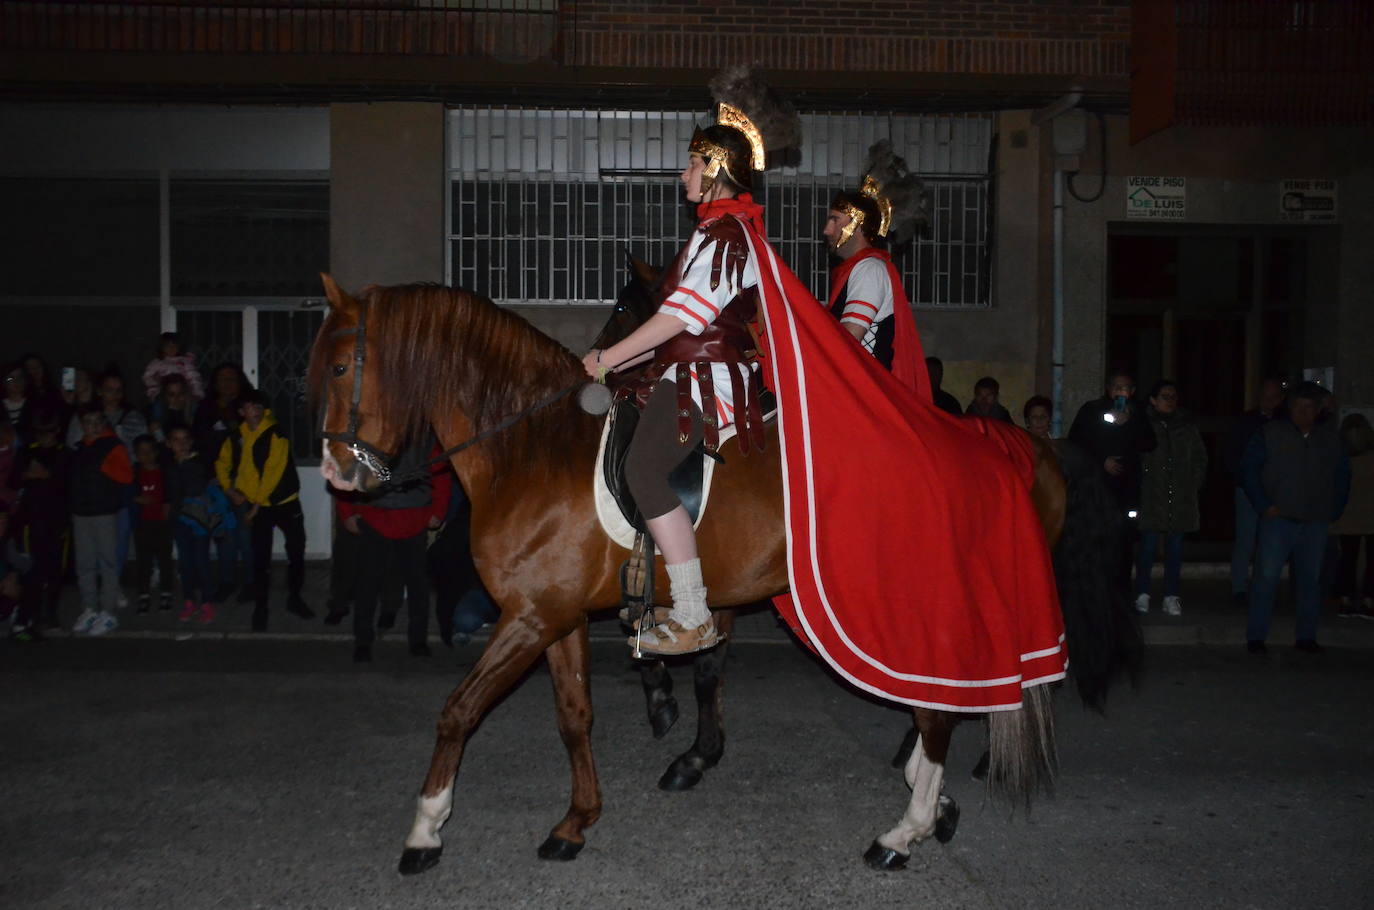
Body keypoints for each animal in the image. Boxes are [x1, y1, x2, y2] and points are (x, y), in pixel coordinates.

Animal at [316, 272, 1132, 879]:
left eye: (339, 365)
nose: (336, 474)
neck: (533, 447)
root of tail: (1000, 444)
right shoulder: (555, 616)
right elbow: (575, 716)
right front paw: (577, 821)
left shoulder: (529, 617)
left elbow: (459, 710)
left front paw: (425, 831)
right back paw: (930, 803)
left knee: (939, 705)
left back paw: (903, 831)